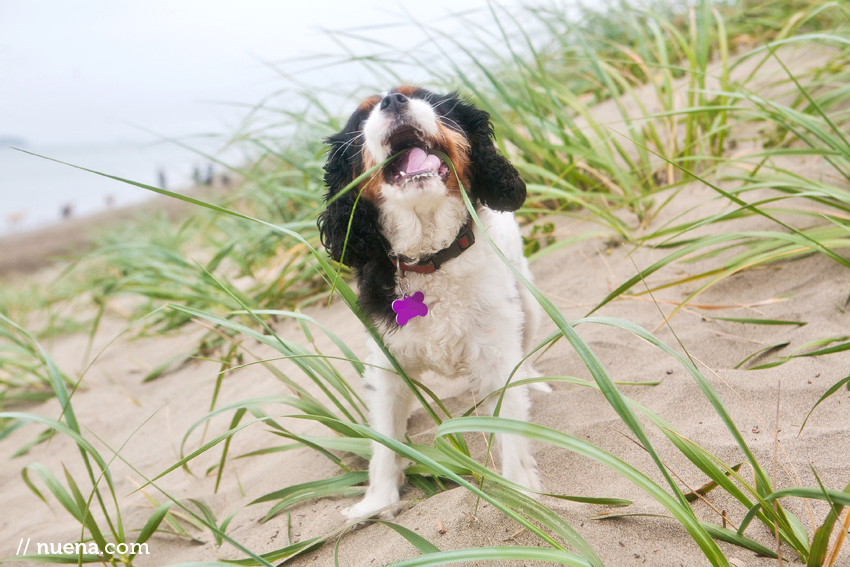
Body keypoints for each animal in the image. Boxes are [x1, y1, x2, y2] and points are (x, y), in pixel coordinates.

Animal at [318, 85, 544, 520]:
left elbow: (510, 423)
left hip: (529, 300)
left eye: (426, 99)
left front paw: (520, 493)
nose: (392, 101)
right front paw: (378, 501)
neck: (430, 256)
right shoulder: (386, 365)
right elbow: (384, 440)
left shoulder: (496, 351)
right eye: (362, 118)